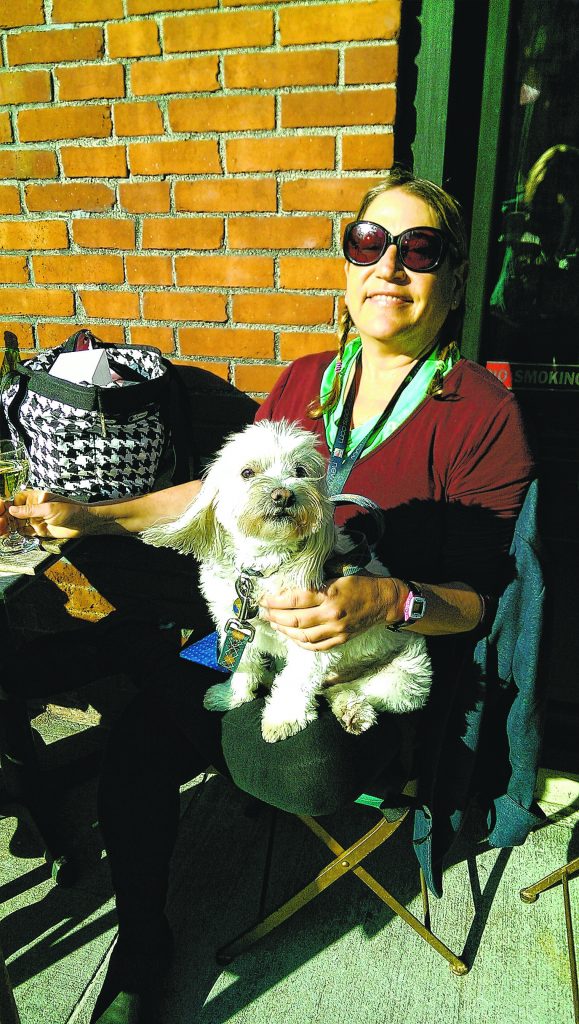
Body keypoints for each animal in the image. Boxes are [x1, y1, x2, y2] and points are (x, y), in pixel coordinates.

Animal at [141, 419, 428, 741]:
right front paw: (232, 695)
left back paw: (353, 710)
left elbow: (297, 680)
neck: (263, 567)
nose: (283, 495)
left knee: (353, 687)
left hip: (407, 676)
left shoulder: (314, 634)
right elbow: (243, 661)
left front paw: (284, 717)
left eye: (300, 471)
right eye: (247, 472)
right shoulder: (234, 621)